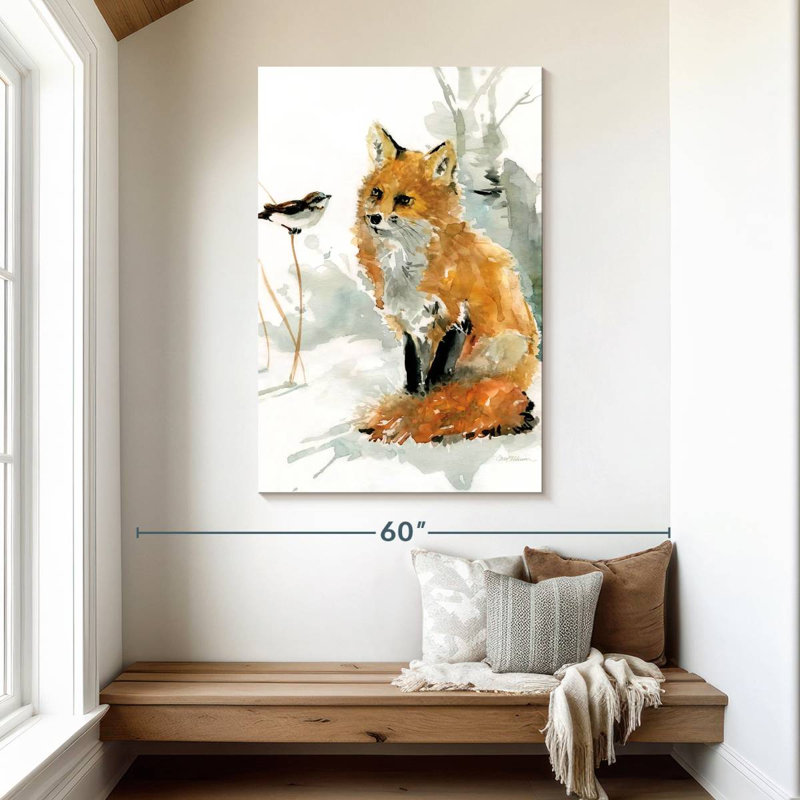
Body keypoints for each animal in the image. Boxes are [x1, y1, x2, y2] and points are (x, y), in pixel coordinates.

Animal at [354, 123, 540, 444]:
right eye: (377, 193)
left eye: (404, 199)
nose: (374, 218)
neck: (406, 267)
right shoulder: (412, 327)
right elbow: (415, 377)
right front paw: (414, 403)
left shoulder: (456, 317)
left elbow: (437, 378)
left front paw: (426, 410)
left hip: (501, 347)